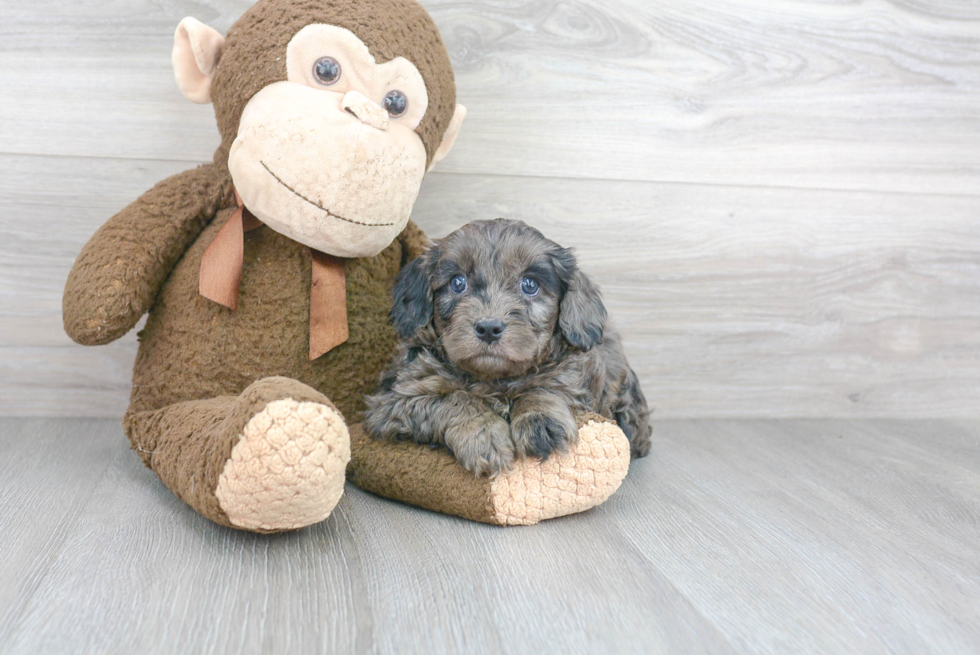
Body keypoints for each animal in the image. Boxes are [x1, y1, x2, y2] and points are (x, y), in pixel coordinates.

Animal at [362, 220, 652, 476]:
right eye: (457, 283)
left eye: (530, 284)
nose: (489, 328)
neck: (493, 380)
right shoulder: (395, 400)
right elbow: (456, 398)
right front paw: (484, 436)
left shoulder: (574, 377)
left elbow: (544, 386)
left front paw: (541, 422)